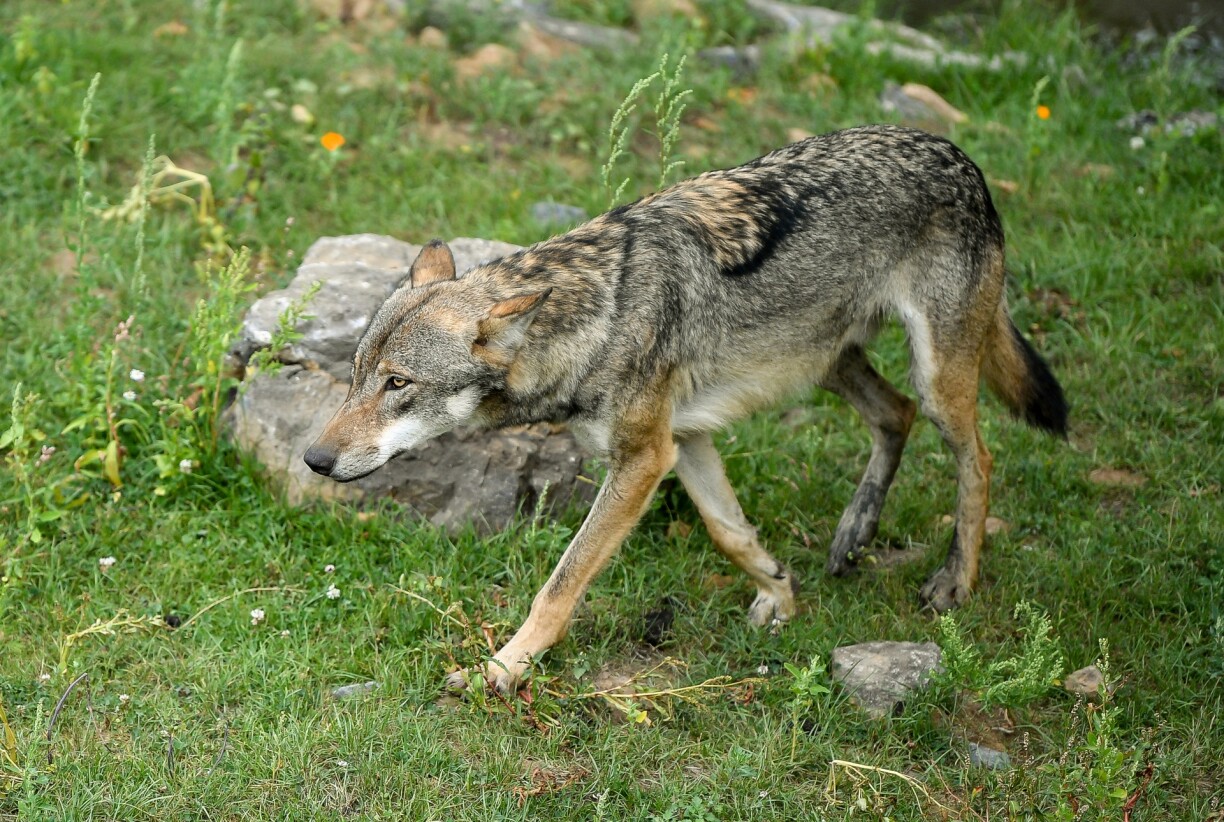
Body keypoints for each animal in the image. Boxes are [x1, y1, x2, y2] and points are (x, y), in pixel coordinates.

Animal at [304, 124, 1068, 692]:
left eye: (398, 384)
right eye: (358, 375)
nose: (313, 459)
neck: (597, 317)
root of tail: (959, 155)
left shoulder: (643, 458)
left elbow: (561, 583)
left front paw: (504, 668)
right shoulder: (684, 439)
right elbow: (729, 532)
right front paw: (781, 595)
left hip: (935, 378)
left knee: (979, 457)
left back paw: (954, 581)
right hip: (826, 363)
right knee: (895, 414)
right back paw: (854, 534)